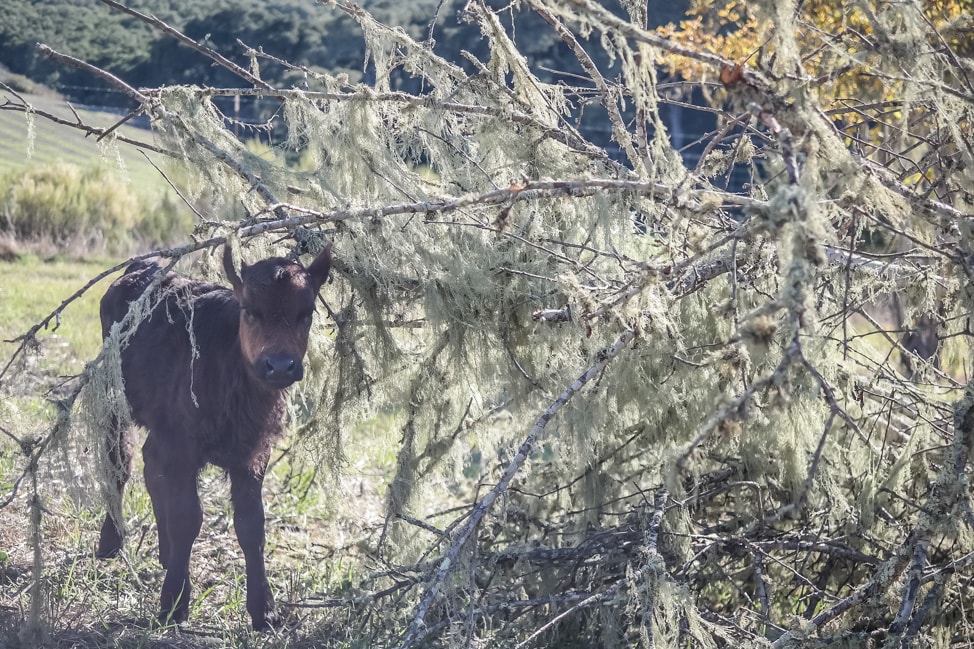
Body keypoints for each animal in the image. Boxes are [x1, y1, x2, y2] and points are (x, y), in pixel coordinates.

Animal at [96, 244, 332, 628]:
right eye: (250, 310)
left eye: (306, 313)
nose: (280, 365)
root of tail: (139, 269)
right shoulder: (181, 448)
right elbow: (187, 518)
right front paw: (174, 604)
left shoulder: (253, 454)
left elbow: (252, 526)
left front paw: (264, 610)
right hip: (111, 395)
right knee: (120, 461)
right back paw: (110, 544)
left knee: (149, 465)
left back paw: (165, 553)